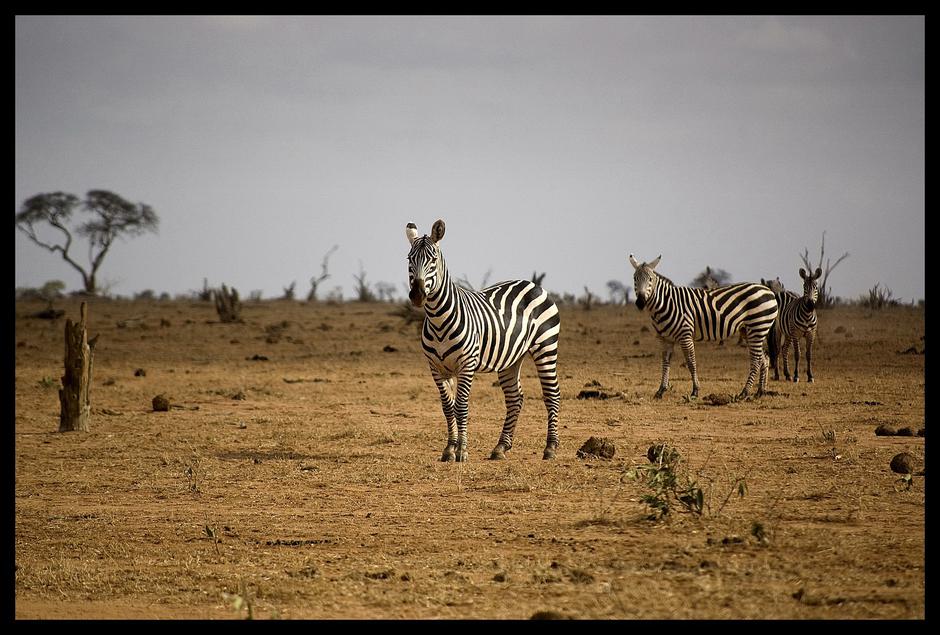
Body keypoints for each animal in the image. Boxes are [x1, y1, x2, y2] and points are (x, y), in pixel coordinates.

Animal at [402, 220, 560, 462]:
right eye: (409, 259)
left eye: (433, 259)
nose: (418, 295)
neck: (438, 319)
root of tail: (533, 284)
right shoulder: (436, 368)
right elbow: (447, 407)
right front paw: (449, 449)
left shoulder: (467, 365)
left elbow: (461, 406)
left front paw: (462, 451)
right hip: (511, 358)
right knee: (515, 398)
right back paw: (500, 447)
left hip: (546, 347)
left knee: (552, 394)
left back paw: (550, 448)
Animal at [632, 252, 780, 398]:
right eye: (635, 279)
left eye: (650, 279)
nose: (640, 302)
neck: (667, 303)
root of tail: (768, 290)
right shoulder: (665, 339)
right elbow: (665, 362)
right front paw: (661, 390)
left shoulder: (685, 335)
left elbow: (691, 362)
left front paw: (695, 391)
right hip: (748, 331)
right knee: (764, 358)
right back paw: (760, 391)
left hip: (758, 327)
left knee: (756, 360)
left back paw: (744, 392)